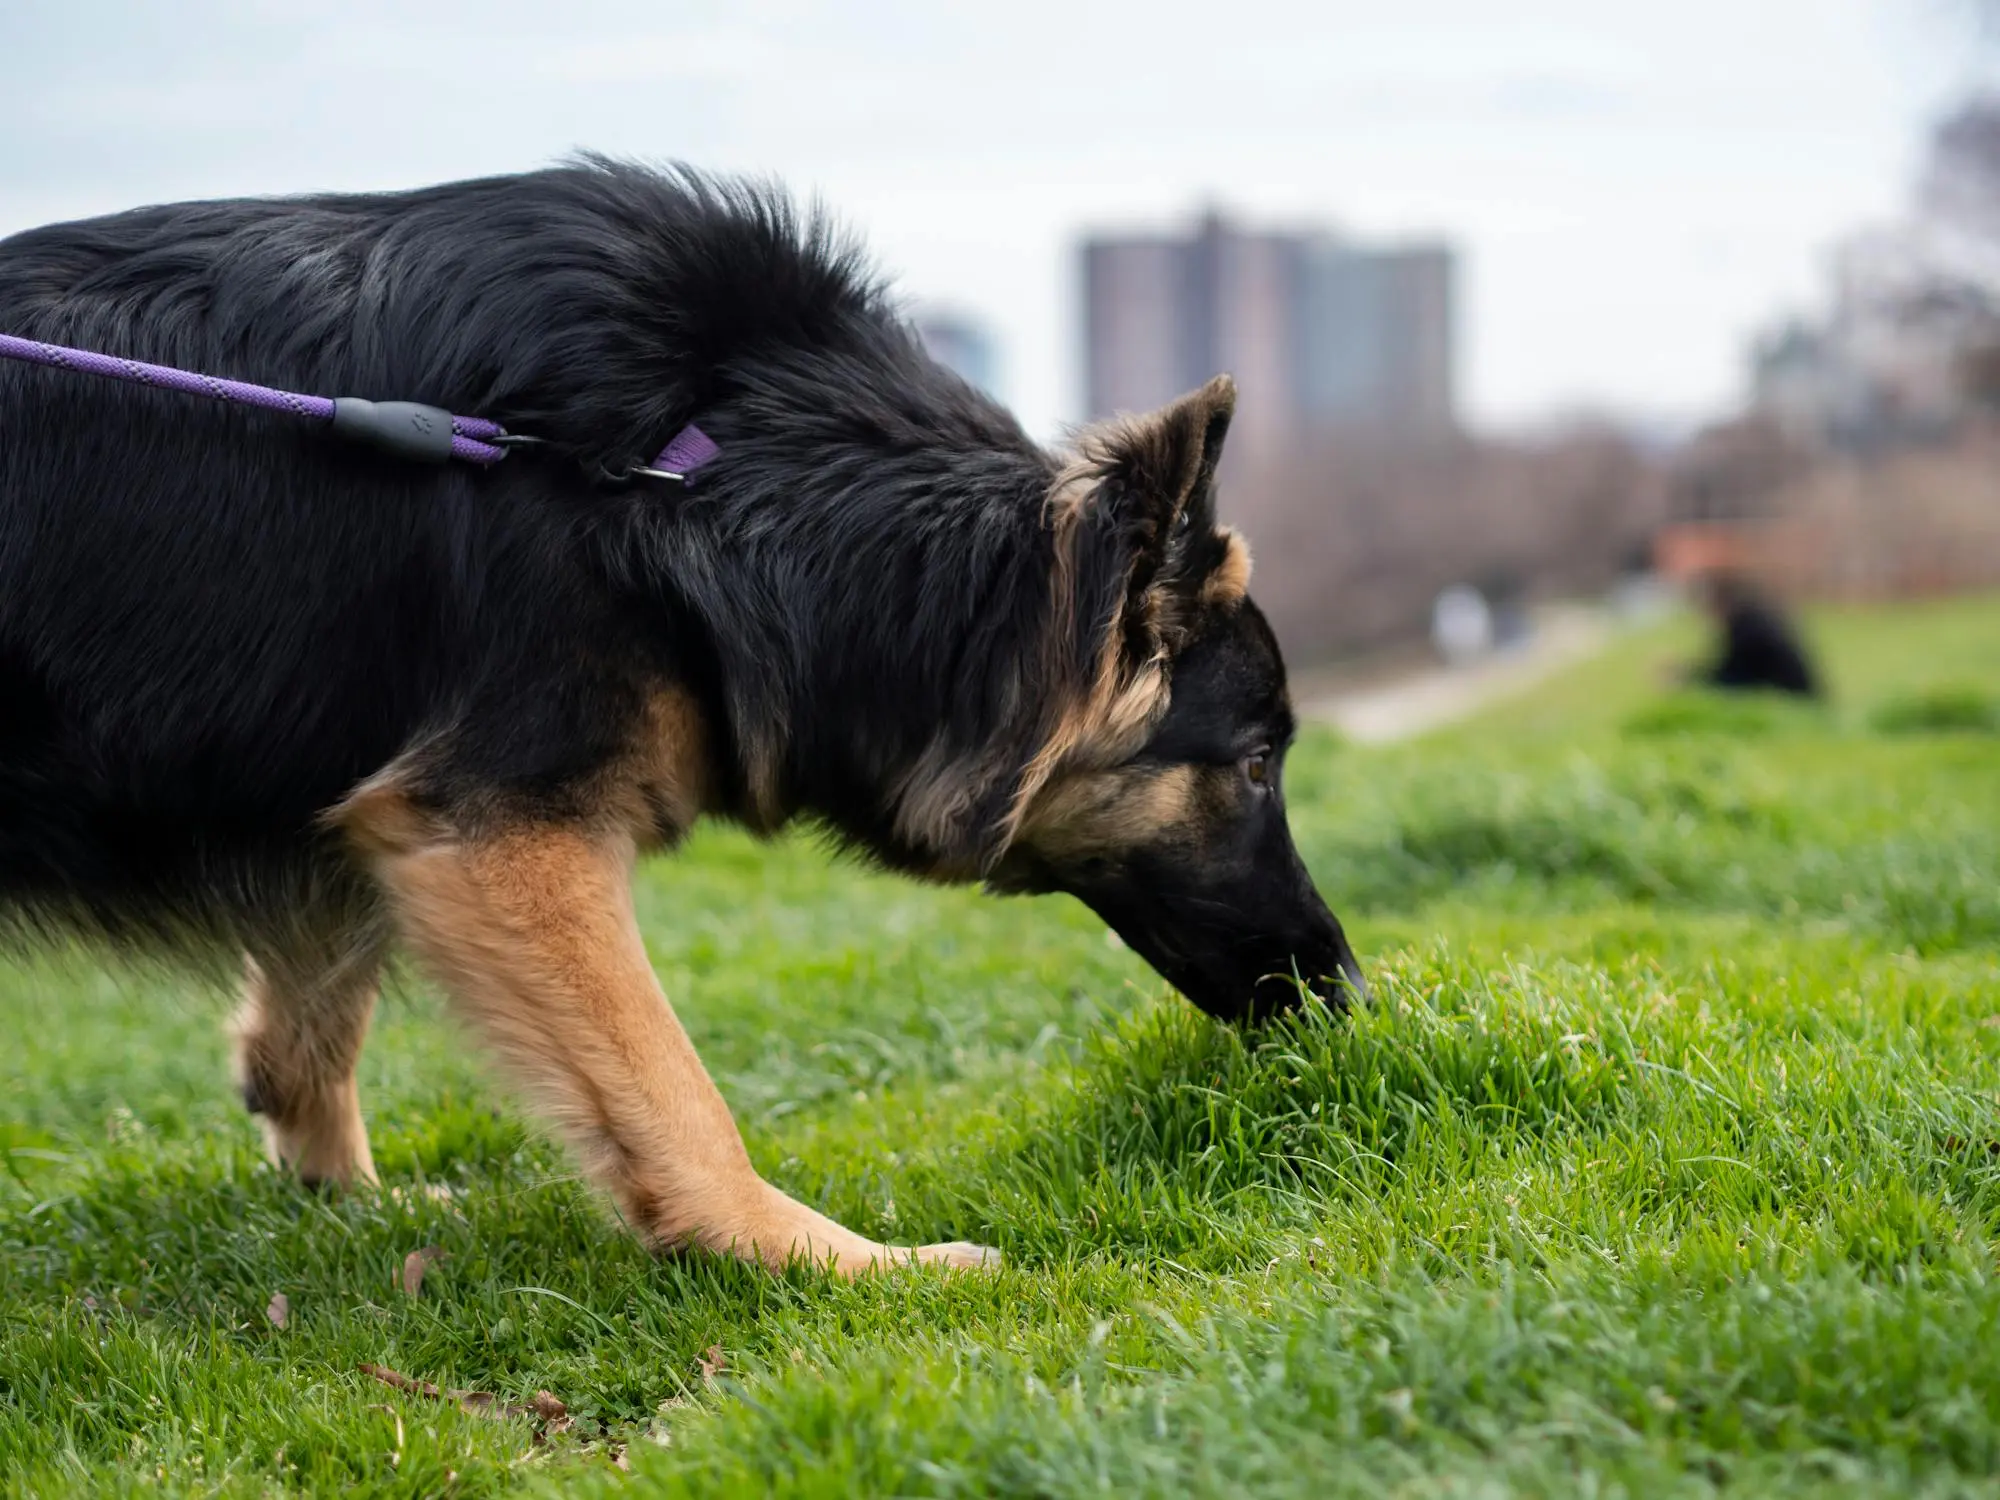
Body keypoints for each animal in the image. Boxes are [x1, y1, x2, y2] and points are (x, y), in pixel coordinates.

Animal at [0, 159, 1360, 1272]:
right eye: (1252, 764)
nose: (1349, 994)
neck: (696, 477)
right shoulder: (505, 827)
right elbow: (671, 1093)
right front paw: (813, 1256)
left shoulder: (385, 797)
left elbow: (317, 1001)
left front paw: (338, 1192)